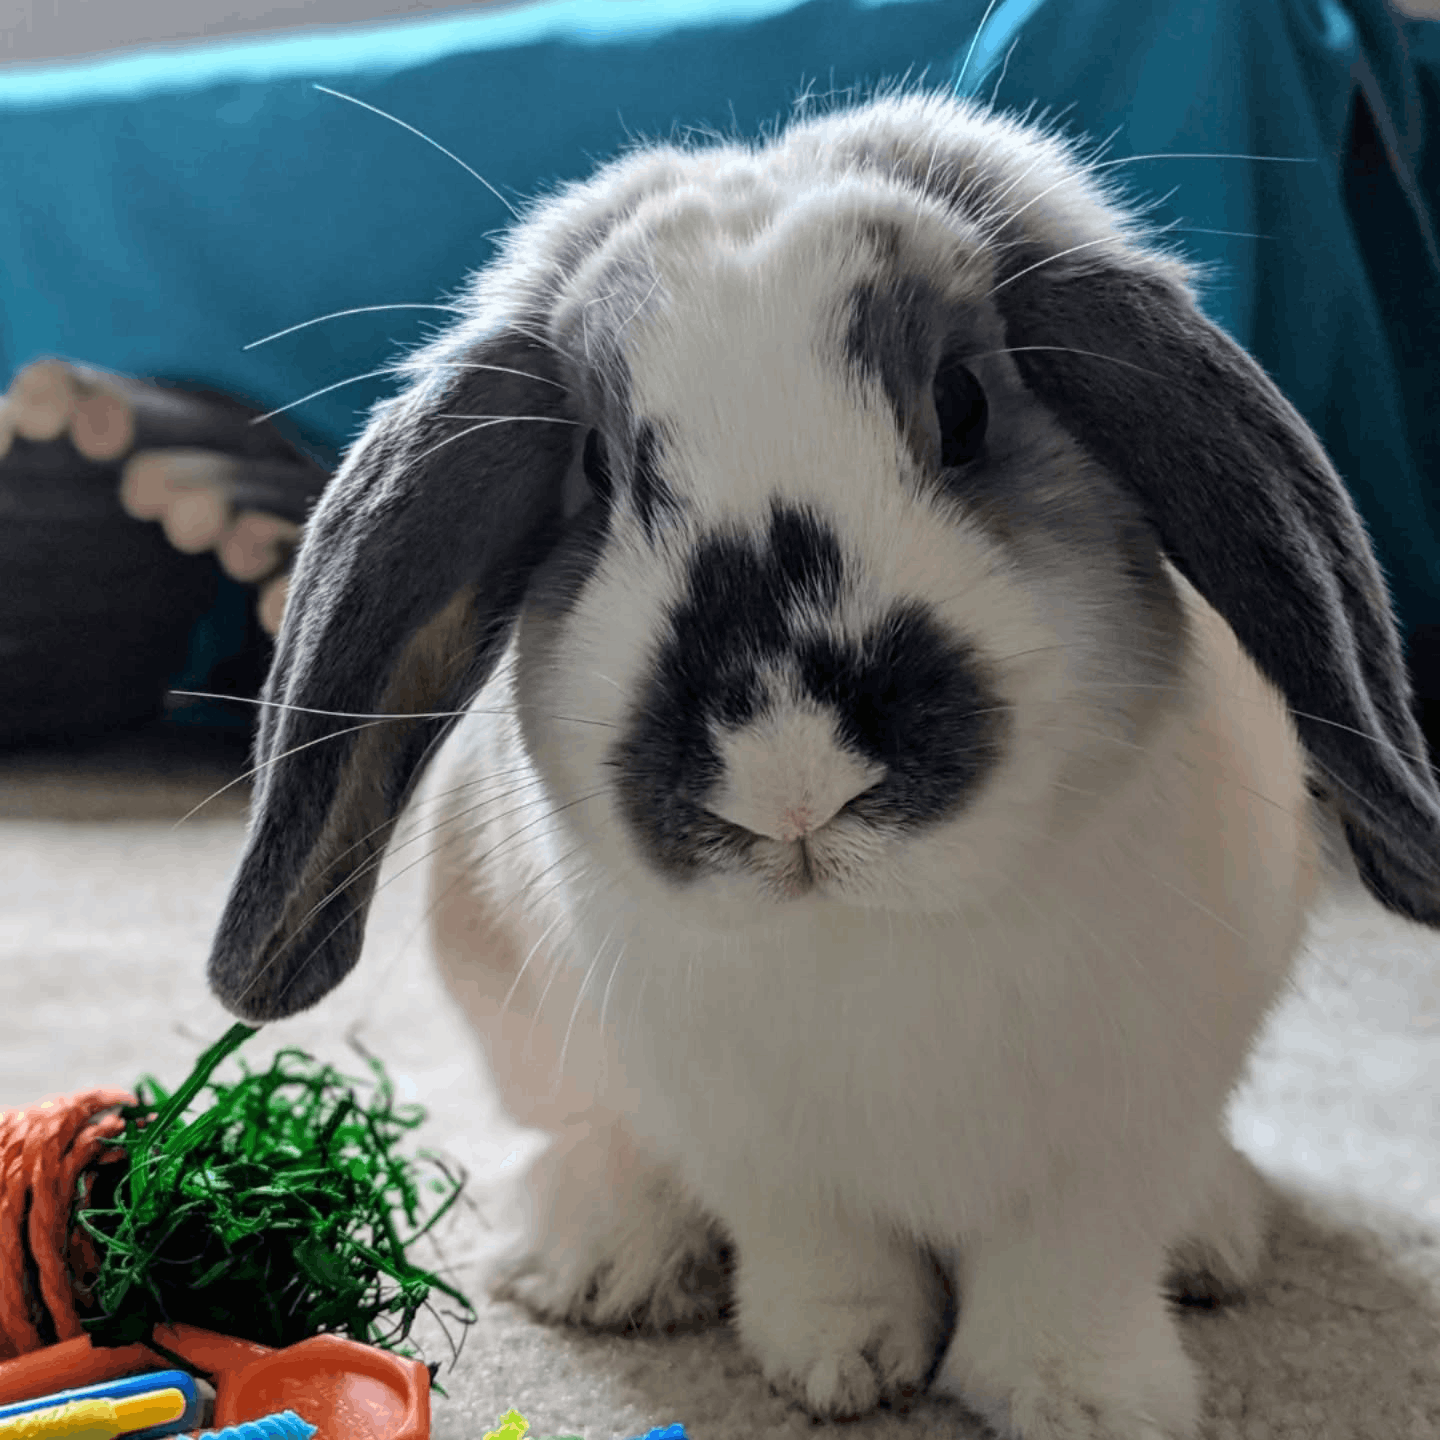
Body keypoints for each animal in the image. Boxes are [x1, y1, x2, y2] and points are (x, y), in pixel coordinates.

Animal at [205, 89, 1440, 1440]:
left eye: (964, 404)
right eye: (599, 468)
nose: (789, 779)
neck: (874, 933)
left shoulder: (1130, 1123)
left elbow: (1073, 1267)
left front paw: (1078, 1401)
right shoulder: (747, 1140)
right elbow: (819, 1249)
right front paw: (840, 1365)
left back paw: (1217, 1237)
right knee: (587, 1134)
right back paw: (605, 1262)